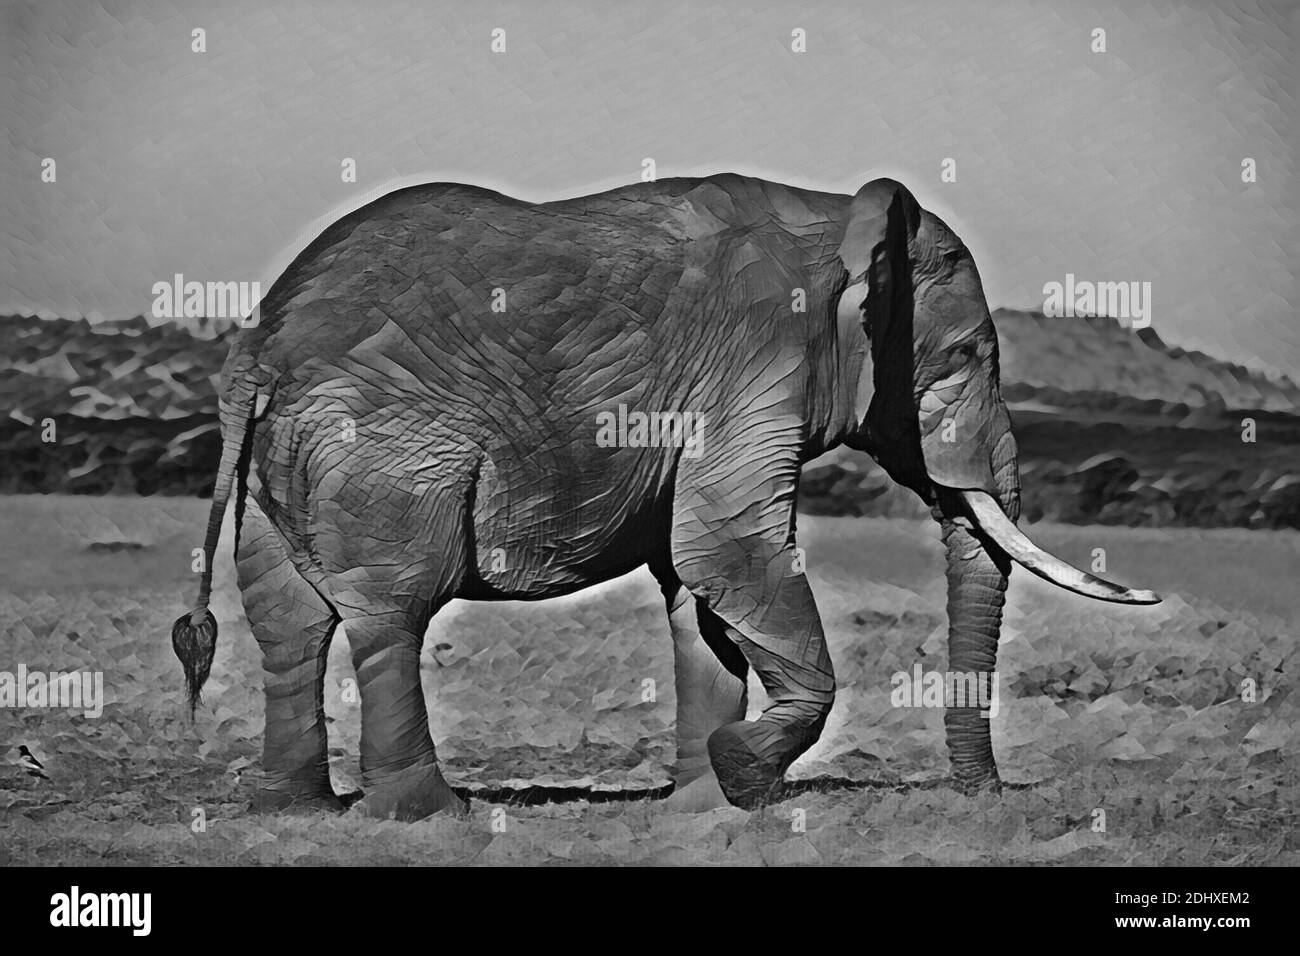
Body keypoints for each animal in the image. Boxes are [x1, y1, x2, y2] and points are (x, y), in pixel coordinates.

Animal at [172, 170, 1159, 816]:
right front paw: (741, 775)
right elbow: (727, 552)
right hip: (381, 447)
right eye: (964, 357)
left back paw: (288, 805)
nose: (985, 800)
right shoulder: (758, 361)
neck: (838, 221)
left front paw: (704, 808)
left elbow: (699, 591)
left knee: (288, 618)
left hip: (284, 459)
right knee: (391, 609)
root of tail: (257, 347)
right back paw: (429, 816)